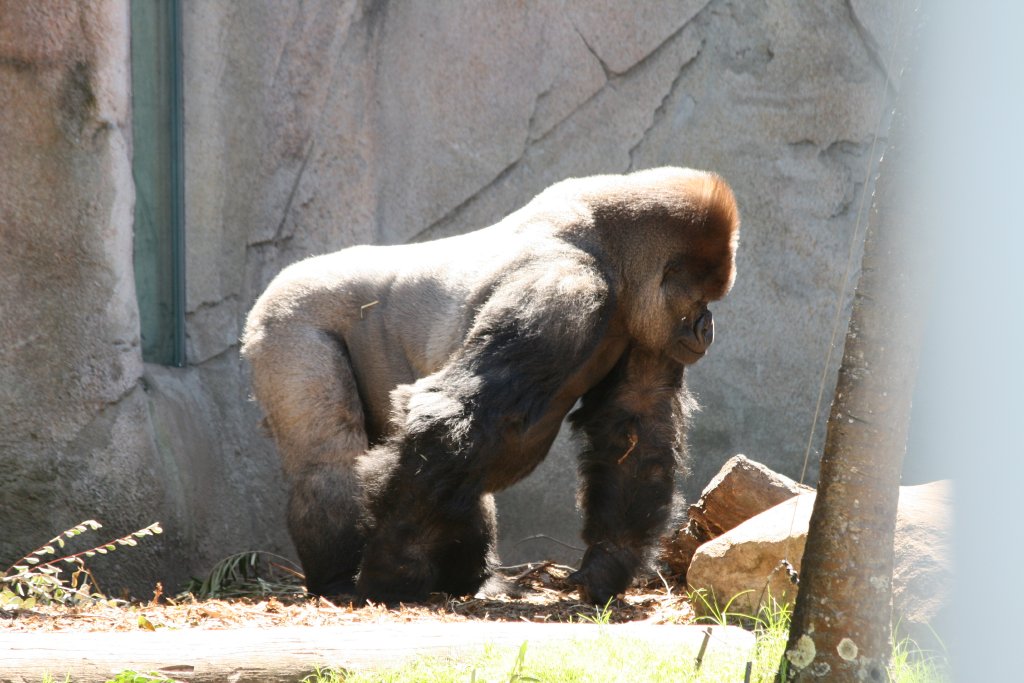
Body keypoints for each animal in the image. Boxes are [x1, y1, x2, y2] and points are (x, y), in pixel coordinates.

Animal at [241, 166, 739, 605]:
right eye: (700, 301)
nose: (709, 328)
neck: (610, 253)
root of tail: (288, 273)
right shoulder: (560, 289)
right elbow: (449, 413)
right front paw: (391, 569)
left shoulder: (648, 323)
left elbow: (637, 422)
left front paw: (609, 564)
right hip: (288, 316)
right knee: (329, 461)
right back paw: (341, 578)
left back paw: (471, 578)